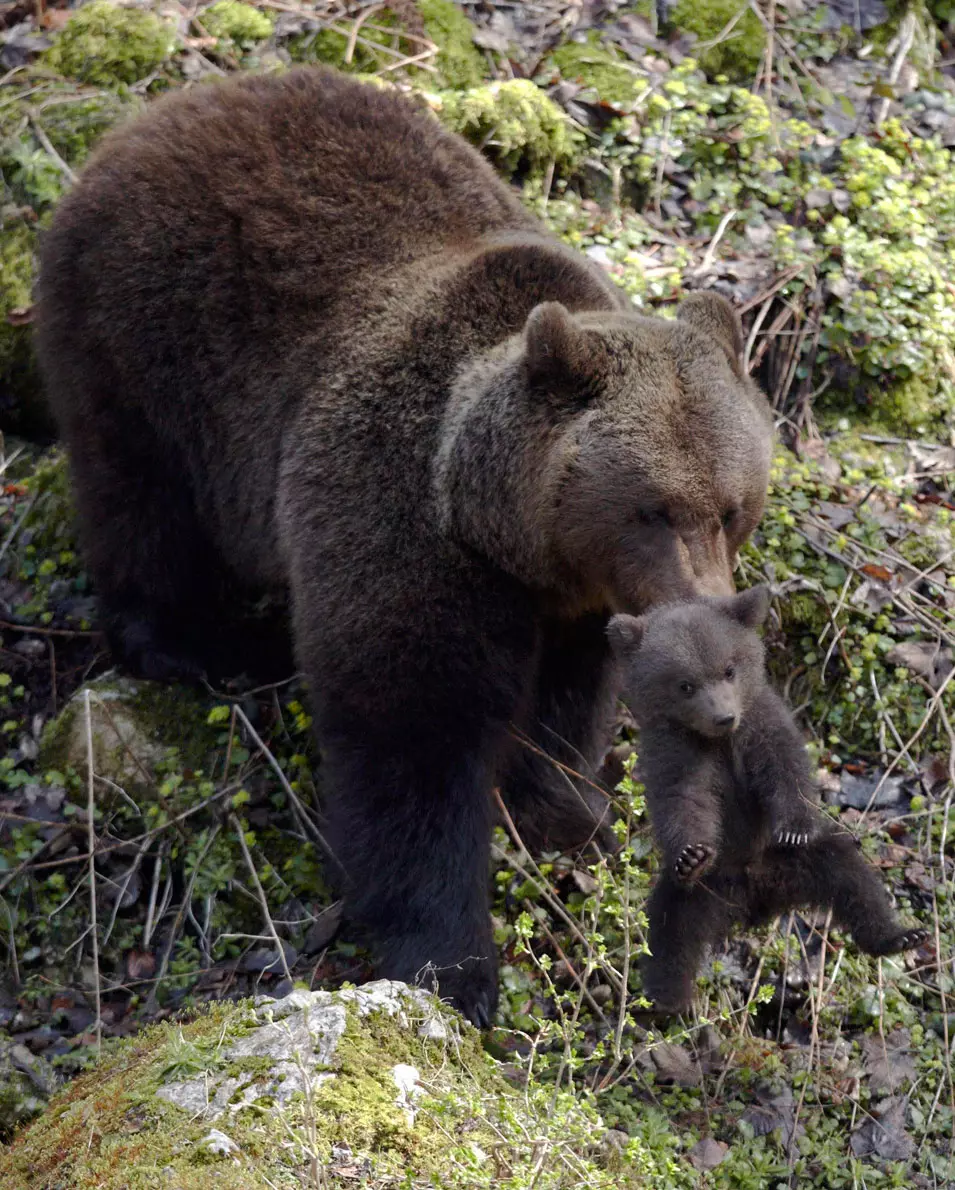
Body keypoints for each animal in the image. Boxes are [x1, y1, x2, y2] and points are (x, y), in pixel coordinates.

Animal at [37, 69, 775, 1028]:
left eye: (731, 507)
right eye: (653, 509)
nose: (706, 606)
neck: (500, 530)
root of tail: (158, 111)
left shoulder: (576, 598)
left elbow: (567, 701)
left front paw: (561, 804)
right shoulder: (396, 518)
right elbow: (409, 734)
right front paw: (453, 964)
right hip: (142, 346)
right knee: (142, 505)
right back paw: (203, 641)